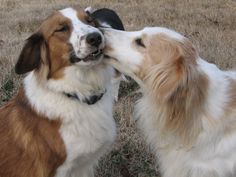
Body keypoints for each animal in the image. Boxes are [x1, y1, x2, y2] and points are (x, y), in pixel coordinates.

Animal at [0, 5, 123, 177]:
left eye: (89, 21)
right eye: (62, 29)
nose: (96, 37)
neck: (76, 94)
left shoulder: (83, 166)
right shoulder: (61, 170)